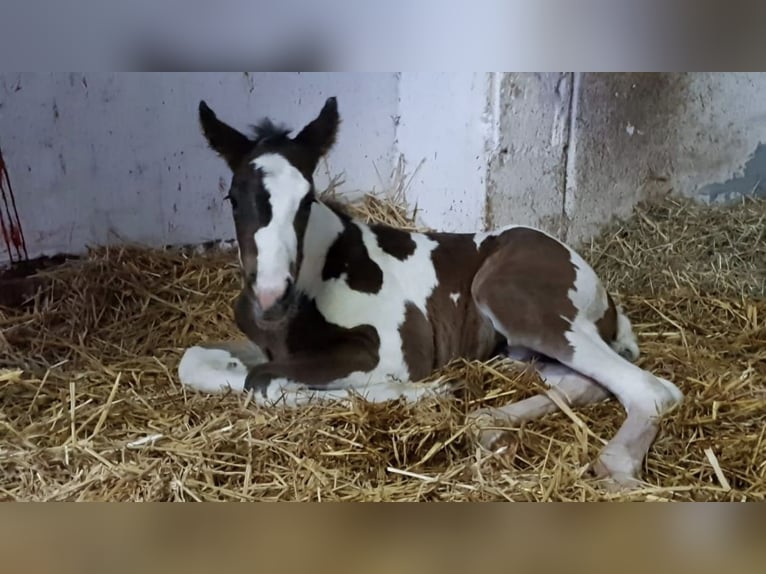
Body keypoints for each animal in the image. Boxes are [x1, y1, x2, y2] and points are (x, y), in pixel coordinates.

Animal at [178, 95, 684, 486]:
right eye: (233, 198)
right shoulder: (260, 343)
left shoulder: (388, 351)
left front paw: (424, 391)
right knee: (583, 382)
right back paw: (490, 426)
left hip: (512, 298)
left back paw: (614, 467)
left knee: (652, 390)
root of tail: (599, 288)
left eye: (306, 200)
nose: (270, 299)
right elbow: (200, 363)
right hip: (524, 348)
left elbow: (264, 382)